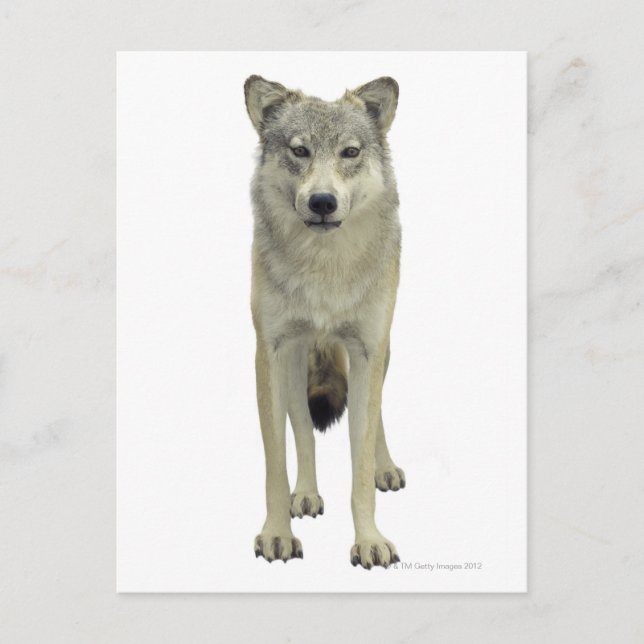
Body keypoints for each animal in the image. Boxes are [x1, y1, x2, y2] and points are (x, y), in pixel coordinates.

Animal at [244, 75, 405, 569]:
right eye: (300, 151)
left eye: (350, 152)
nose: (321, 202)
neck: (324, 270)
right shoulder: (270, 353)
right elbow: (276, 465)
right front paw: (277, 533)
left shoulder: (367, 349)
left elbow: (360, 466)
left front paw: (370, 540)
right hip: (295, 362)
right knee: (303, 431)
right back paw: (307, 495)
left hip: (380, 354)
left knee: (377, 413)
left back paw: (387, 468)